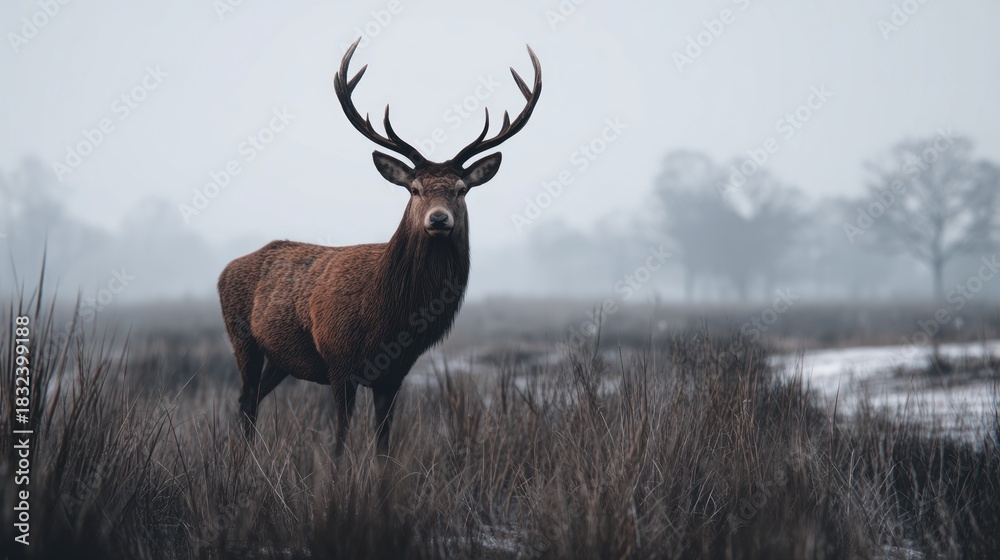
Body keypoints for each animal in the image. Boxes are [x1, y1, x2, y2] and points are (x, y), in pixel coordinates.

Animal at [217, 38, 541, 454]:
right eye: (415, 189)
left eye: (461, 189)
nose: (439, 219)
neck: (389, 314)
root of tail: (225, 270)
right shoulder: (339, 363)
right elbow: (339, 443)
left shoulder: (395, 373)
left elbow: (384, 446)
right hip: (242, 338)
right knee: (245, 398)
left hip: (279, 358)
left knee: (253, 399)